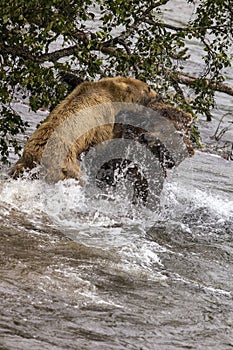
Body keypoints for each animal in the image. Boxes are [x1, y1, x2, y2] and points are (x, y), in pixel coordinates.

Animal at [10, 76, 157, 180]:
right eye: (148, 88)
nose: (158, 95)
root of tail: (37, 157)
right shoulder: (103, 115)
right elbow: (103, 139)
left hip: (22, 163)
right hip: (64, 162)